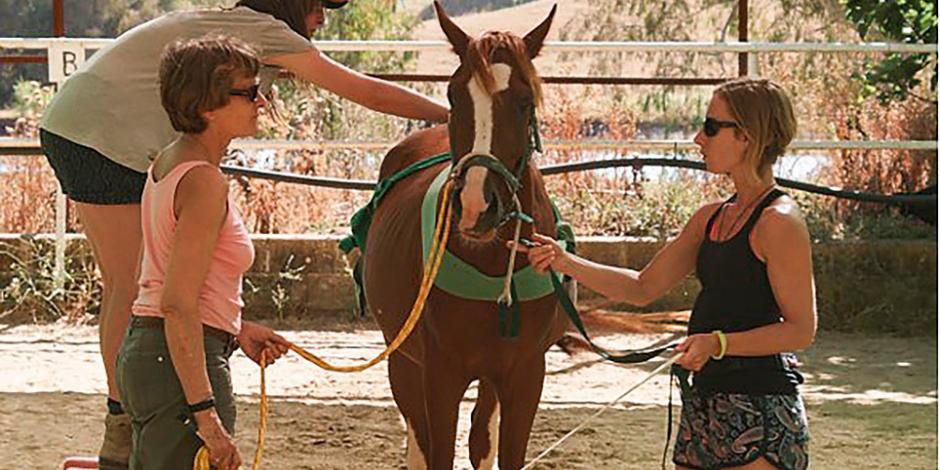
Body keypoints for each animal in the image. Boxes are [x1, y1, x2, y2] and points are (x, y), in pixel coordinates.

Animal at [364, 1, 560, 468]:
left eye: (524, 102)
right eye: (454, 95)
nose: (475, 205)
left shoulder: (526, 374)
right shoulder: (440, 375)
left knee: (479, 437)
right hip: (403, 360)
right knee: (417, 434)